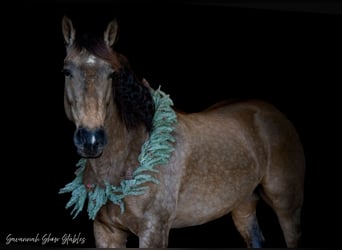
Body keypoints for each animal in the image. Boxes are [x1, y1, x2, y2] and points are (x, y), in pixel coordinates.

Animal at [60, 16, 306, 248]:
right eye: (66, 71)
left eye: (111, 74)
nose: (91, 140)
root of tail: (273, 113)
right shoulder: (106, 232)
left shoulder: (154, 231)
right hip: (243, 204)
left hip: (287, 207)